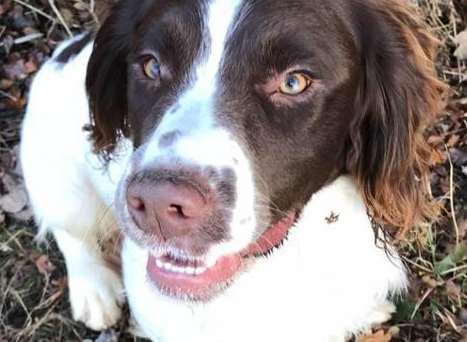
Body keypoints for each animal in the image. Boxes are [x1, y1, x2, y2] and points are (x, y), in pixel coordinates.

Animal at [21, 1, 446, 340]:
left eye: (294, 81)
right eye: (151, 65)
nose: (158, 204)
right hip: (56, 174)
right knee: (68, 230)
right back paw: (93, 289)